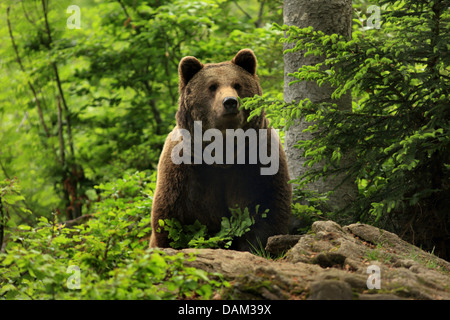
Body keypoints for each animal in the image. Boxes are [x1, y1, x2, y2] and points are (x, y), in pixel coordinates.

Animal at [149, 48, 294, 251]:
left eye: (237, 84)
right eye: (212, 86)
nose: (230, 102)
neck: (223, 152)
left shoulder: (258, 162)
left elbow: (268, 209)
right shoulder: (184, 171)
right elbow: (171, 221)